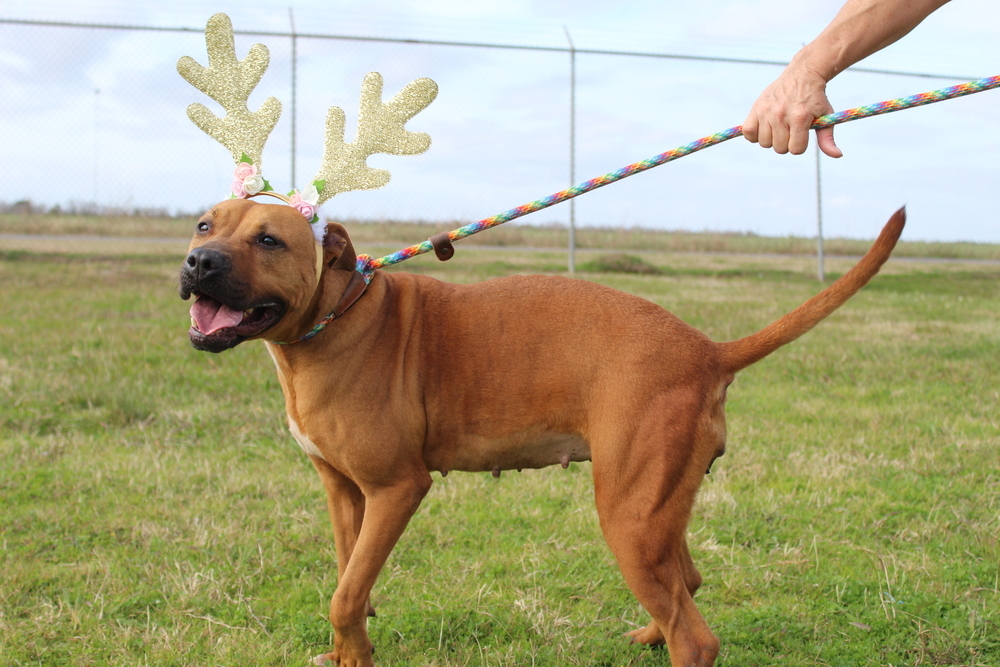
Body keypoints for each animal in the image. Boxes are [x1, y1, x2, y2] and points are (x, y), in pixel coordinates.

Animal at [180, 201, 908, 667]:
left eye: (270, 240)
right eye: (205, 224)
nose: (198, 262)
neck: (331, 318)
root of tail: (707, 349)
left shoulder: (396, 489)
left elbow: (344, 593)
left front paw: (355, 655)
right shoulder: (344, 492)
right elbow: (348, 580)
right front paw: (347, 650)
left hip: (626, 515)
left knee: (697, 639)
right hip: (653, 509)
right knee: (687, 581)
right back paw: (647, 636)